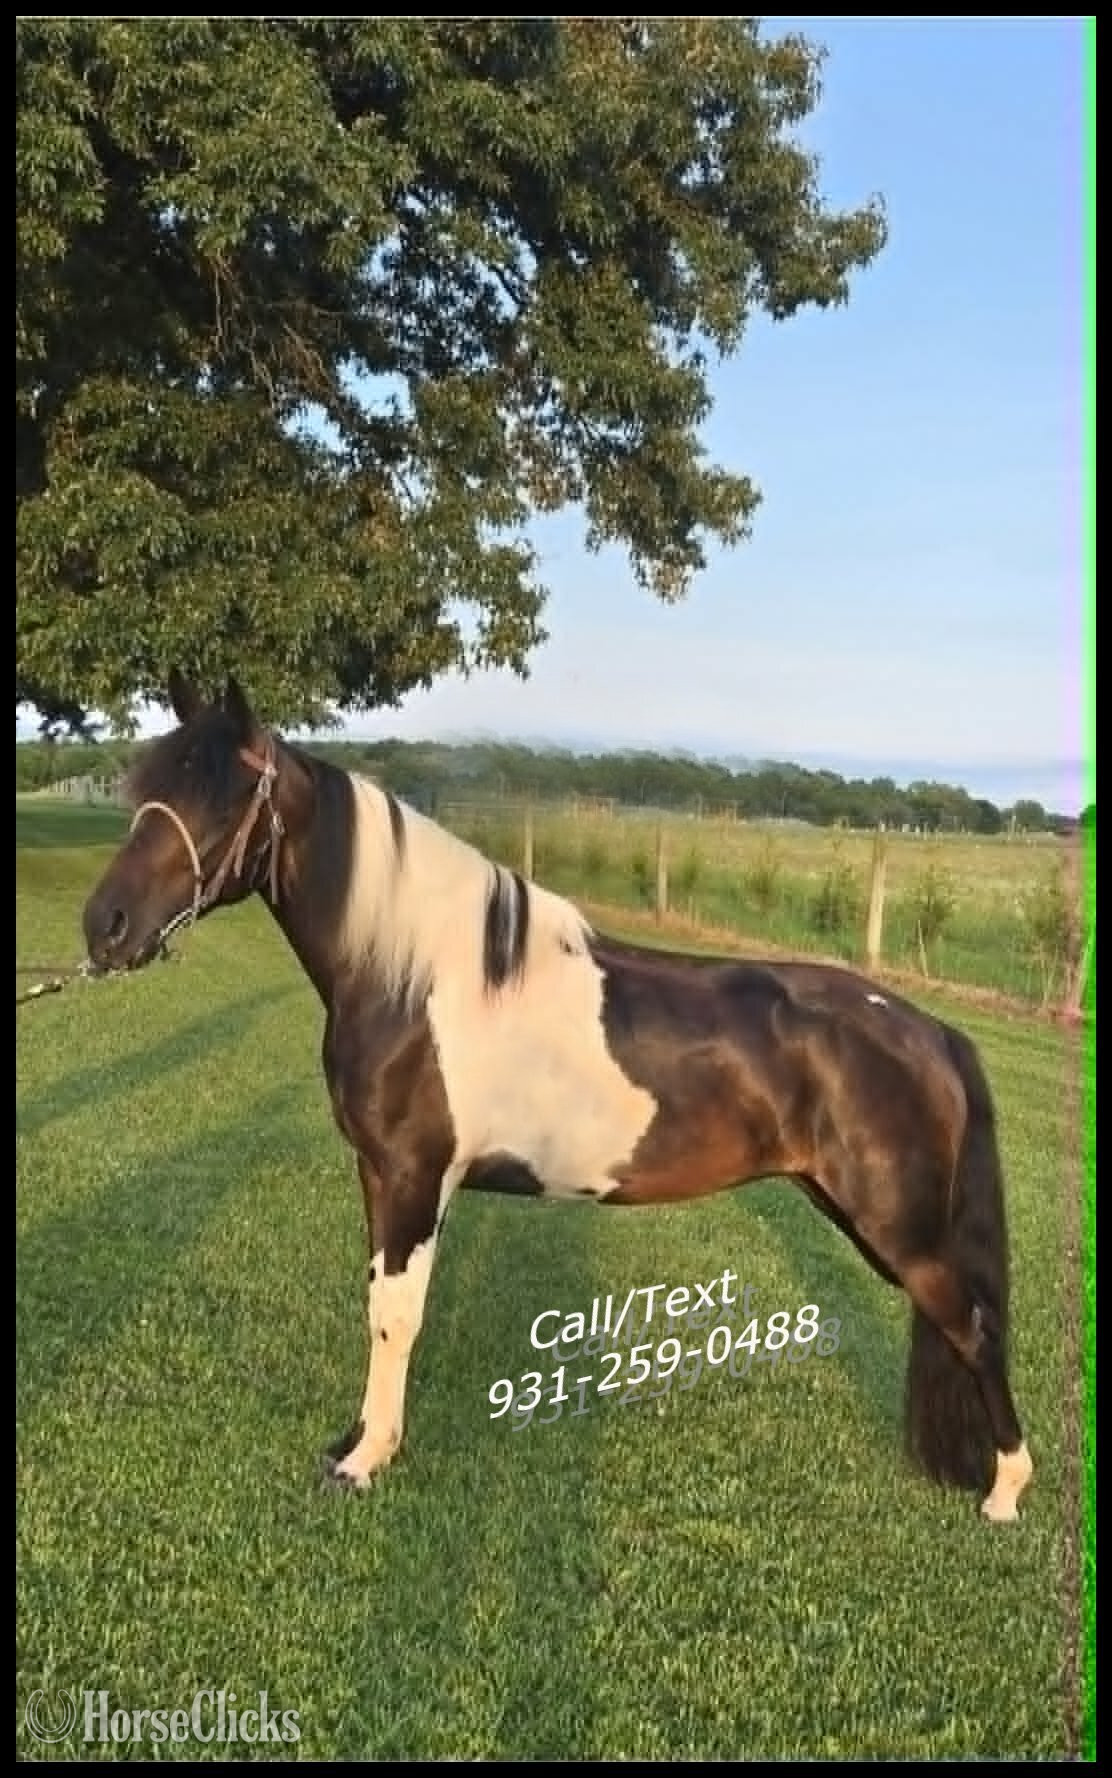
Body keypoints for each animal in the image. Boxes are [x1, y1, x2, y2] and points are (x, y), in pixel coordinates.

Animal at [80, 673, 1033, 1523]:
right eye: (148, 790)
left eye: (226, 797)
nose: (105, 927)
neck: (418, 978)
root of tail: (931, 1032)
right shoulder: (378, 1175)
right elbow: (378, 1305)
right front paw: (355, 1440)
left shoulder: (414, 1177)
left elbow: (397, 1317)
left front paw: (365, 1461)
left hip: (901, 1234)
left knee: (976, 1329)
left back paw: (1005, 1494)